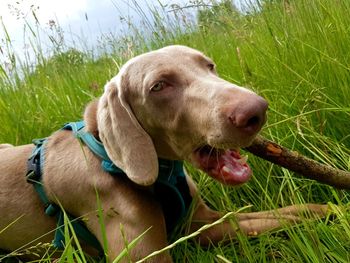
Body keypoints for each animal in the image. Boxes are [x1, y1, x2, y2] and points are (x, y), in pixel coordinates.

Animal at [0, 45, 328, 262]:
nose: (256, 111)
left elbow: (289, 214)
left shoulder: (204, 223)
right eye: (159, 86)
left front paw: (330, 210)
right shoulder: (145, 256)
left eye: (209, 65)